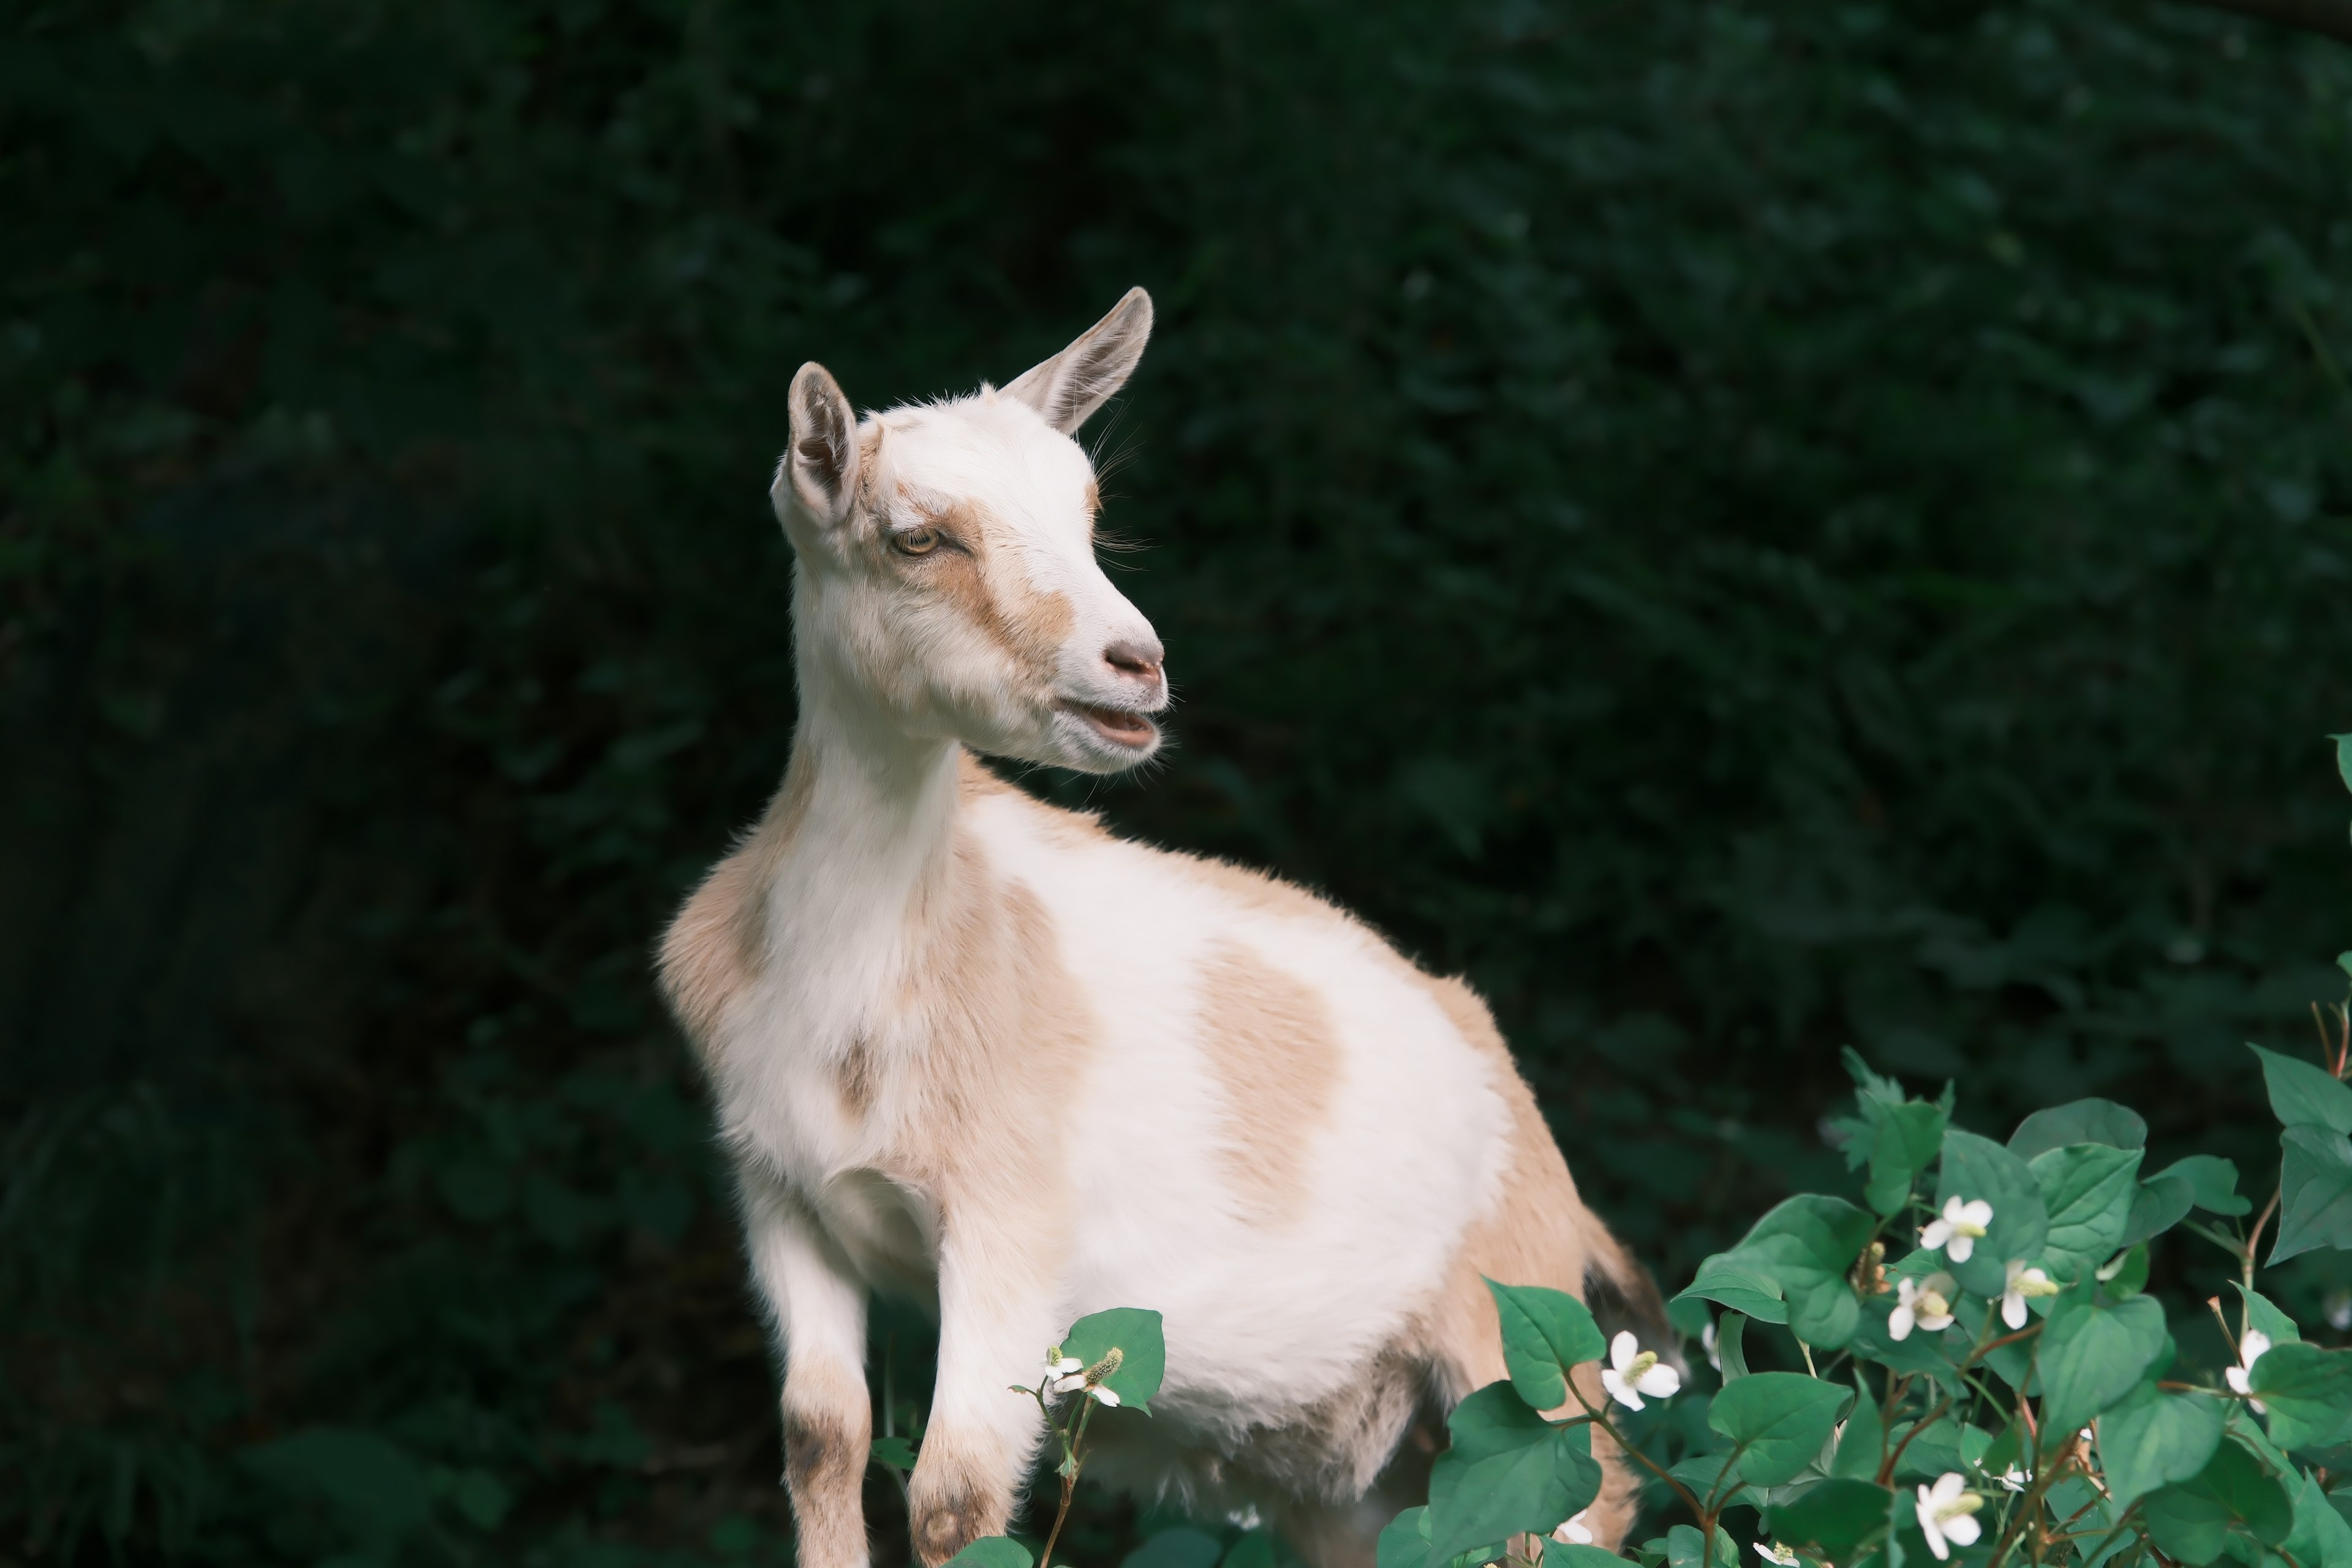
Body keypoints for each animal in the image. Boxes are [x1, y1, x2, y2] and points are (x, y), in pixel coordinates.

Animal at [663, 288, 1656, 1568]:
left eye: (1089, 511)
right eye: (918, 536)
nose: (1135, 666)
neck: (864, 983)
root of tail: (1550, 1168)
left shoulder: (1013, 1236)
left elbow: (952, 1502)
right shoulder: (783, 1202)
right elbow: (822, 1440)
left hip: (1531, 1366)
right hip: (1360, 1481)